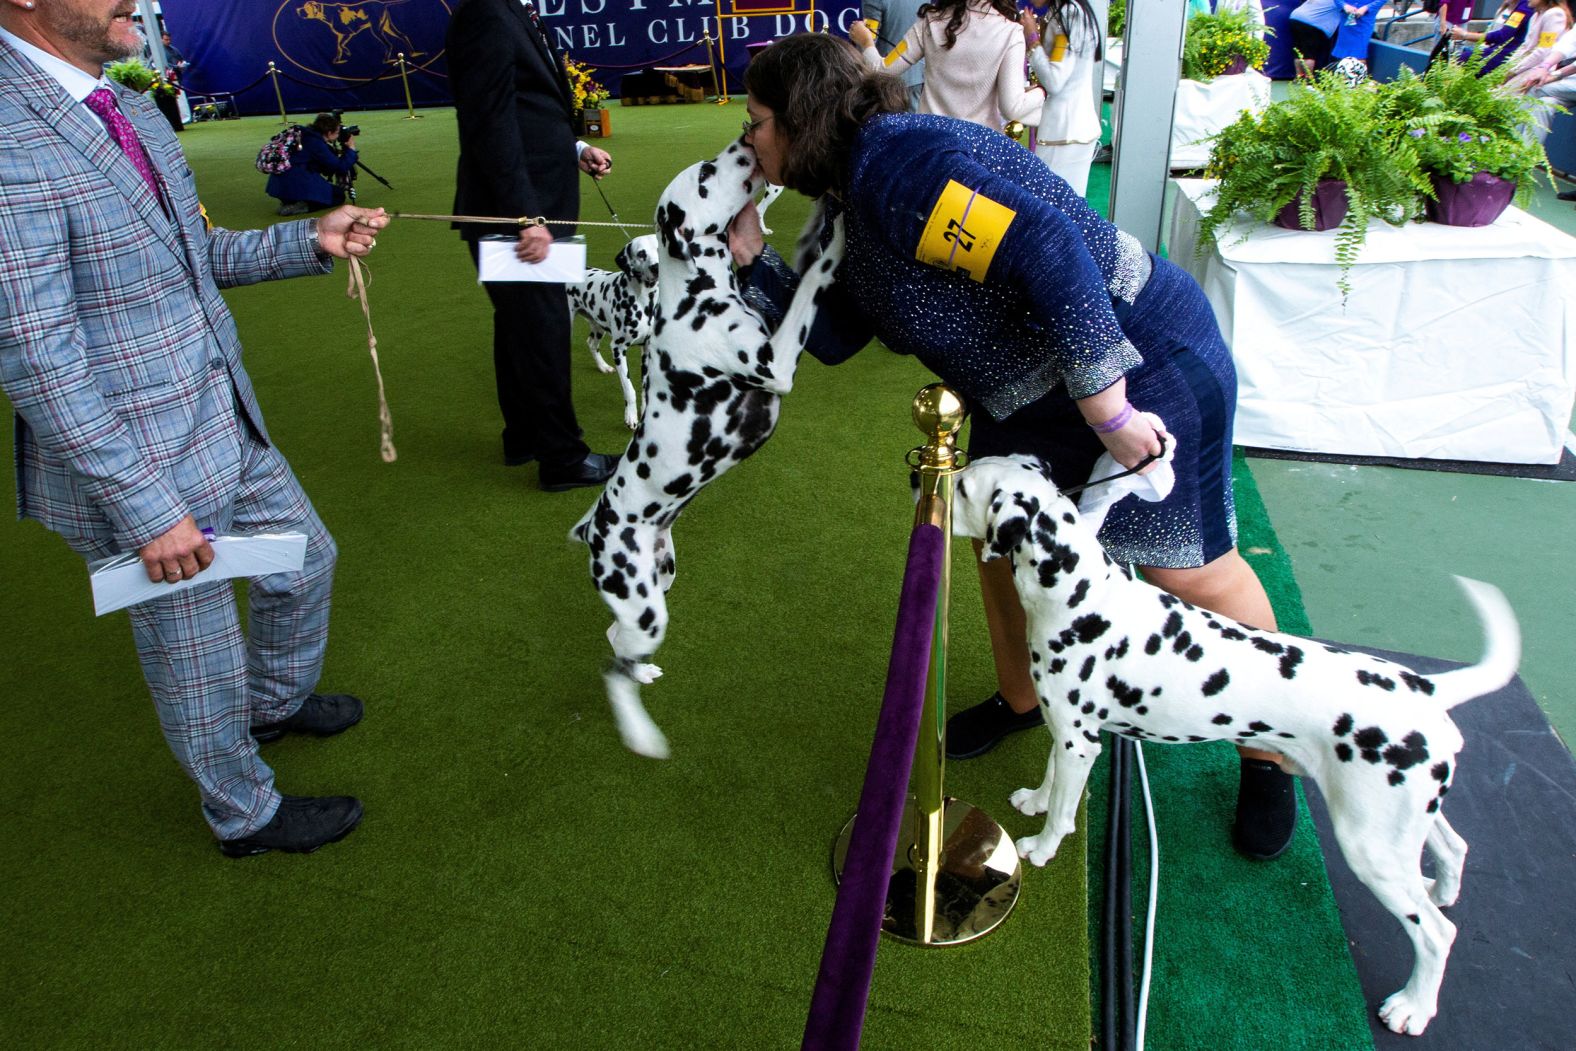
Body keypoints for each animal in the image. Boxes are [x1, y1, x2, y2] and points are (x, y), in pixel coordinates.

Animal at [567, 234, 658, 431]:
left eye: (659, 248)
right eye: (641, 253)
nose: (656, 267)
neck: (644, 301)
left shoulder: (647, 349)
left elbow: (645, 388)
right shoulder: (618, 349)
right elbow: (629, 389)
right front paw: (631, 417)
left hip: (598, 325)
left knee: (591, 343)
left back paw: (602, 366)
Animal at [945, 453, 1525, 1033]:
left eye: (963, 487)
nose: (927, 484)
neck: (1084, 596)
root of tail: (1426, 688)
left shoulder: (1079, 742)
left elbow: (1063, 816)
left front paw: (1040, 848)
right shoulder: (1071, 732)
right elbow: (1051, 781)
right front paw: (1033, 800)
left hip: (1370, 845)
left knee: (1435, 935)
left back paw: (1412, 1006)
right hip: (1403, 822)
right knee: (1453, 848)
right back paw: (1443, 892)